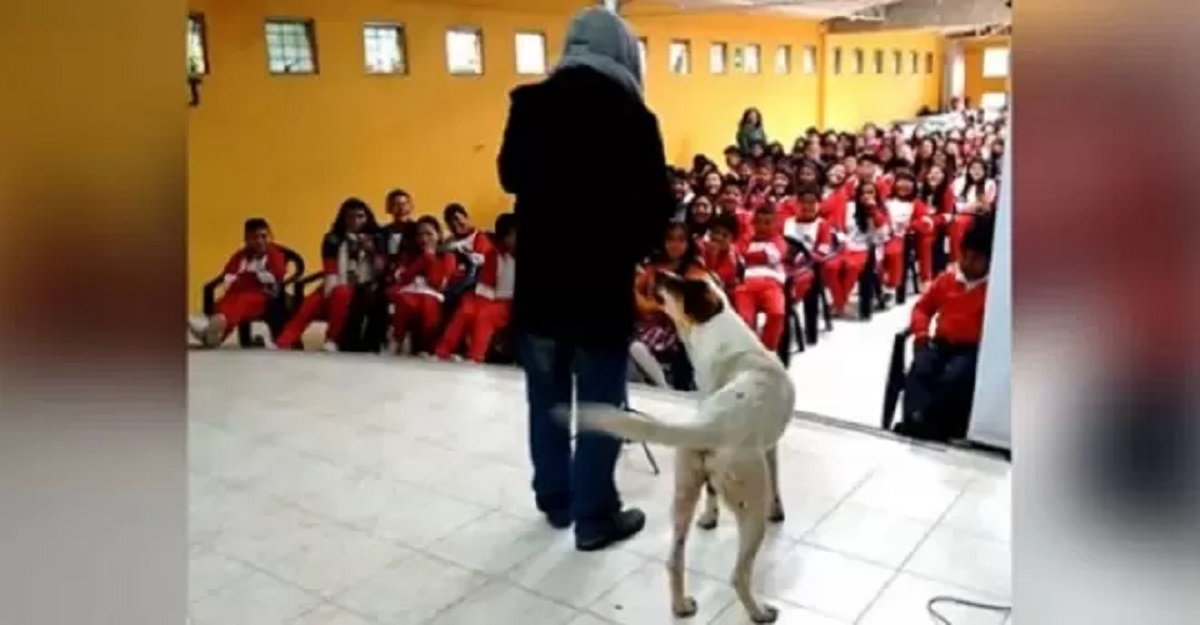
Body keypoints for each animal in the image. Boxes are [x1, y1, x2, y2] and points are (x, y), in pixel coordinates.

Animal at [566, 269, 792, 619]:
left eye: (680, 282)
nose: (657, 272)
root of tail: (708, 426)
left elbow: (711, 497)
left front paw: (710, 518)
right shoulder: (770, 447)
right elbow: (777, 480)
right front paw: (777, 511)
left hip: (683, 493)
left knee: (674, 559)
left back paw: (681, 605)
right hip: (751, 504)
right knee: (739, 574)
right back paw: (759, 612)